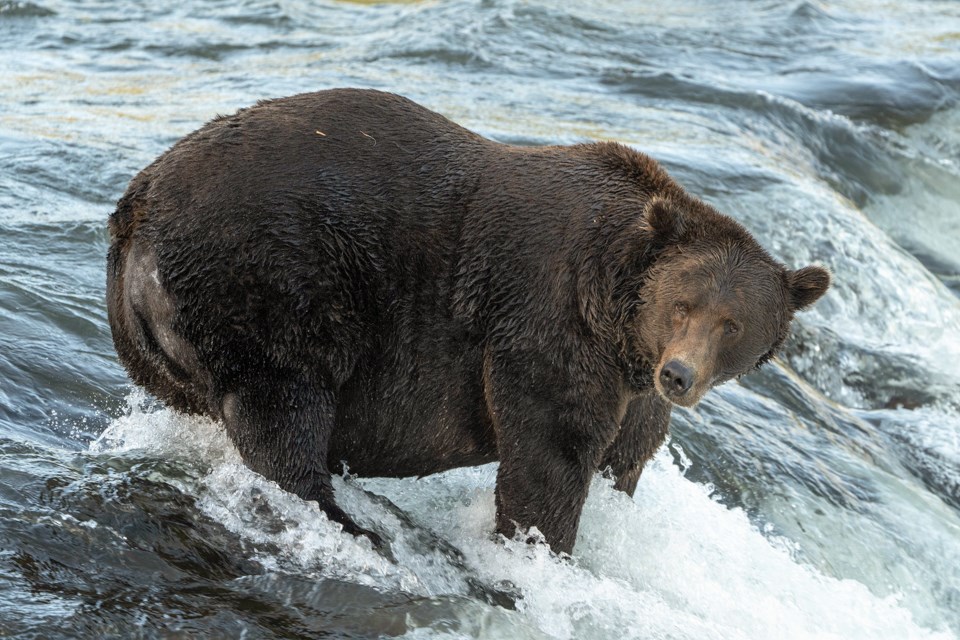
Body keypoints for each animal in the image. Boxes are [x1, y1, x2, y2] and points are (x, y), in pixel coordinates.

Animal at [103, 90, 824, 556]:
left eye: (733, 325)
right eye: (683, 304)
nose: (679, 374)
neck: (619, 320)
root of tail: (136, 208)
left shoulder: (630, 382)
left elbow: (627, 456)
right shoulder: (547, 322)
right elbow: (549, 455)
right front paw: (540, 550)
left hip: (162, 335)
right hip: (264, 278)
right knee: (282, 407)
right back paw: (347, 521)